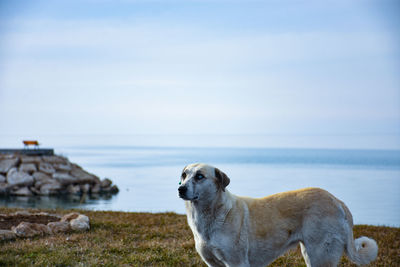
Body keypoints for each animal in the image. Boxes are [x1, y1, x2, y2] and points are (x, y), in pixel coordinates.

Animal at [179, 163, 378, 267]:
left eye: (199, 176)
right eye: (184, 175)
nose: (180, 189)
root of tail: (337, 200)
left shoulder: (237, 262)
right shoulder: (213, 263)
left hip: (320, 256)